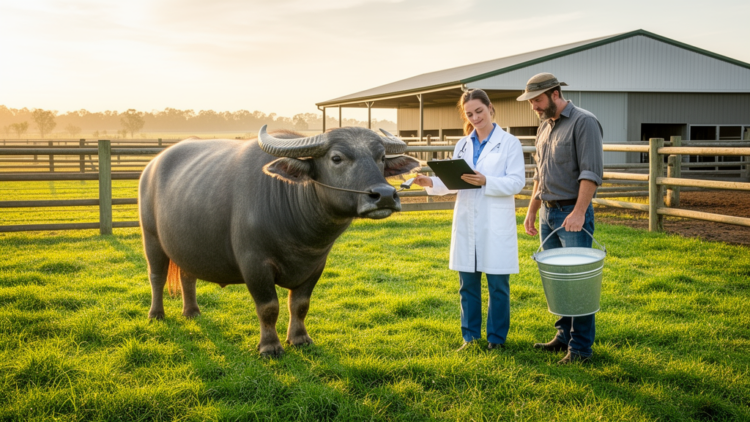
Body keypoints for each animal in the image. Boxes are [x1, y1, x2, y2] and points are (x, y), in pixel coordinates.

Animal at [138, 126, 420, 356]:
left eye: (381, 157)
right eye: (337, 158)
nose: (385, 195)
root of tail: (152, 165)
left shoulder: (316, 266)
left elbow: (300, 304)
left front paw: (299, 338)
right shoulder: (254, 265)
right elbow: (268, 307)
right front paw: (270, 347)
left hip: (186, 246)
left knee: (188, 276)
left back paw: (192, 312)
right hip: (151, 238)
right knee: (157, 277)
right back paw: (156, 315)